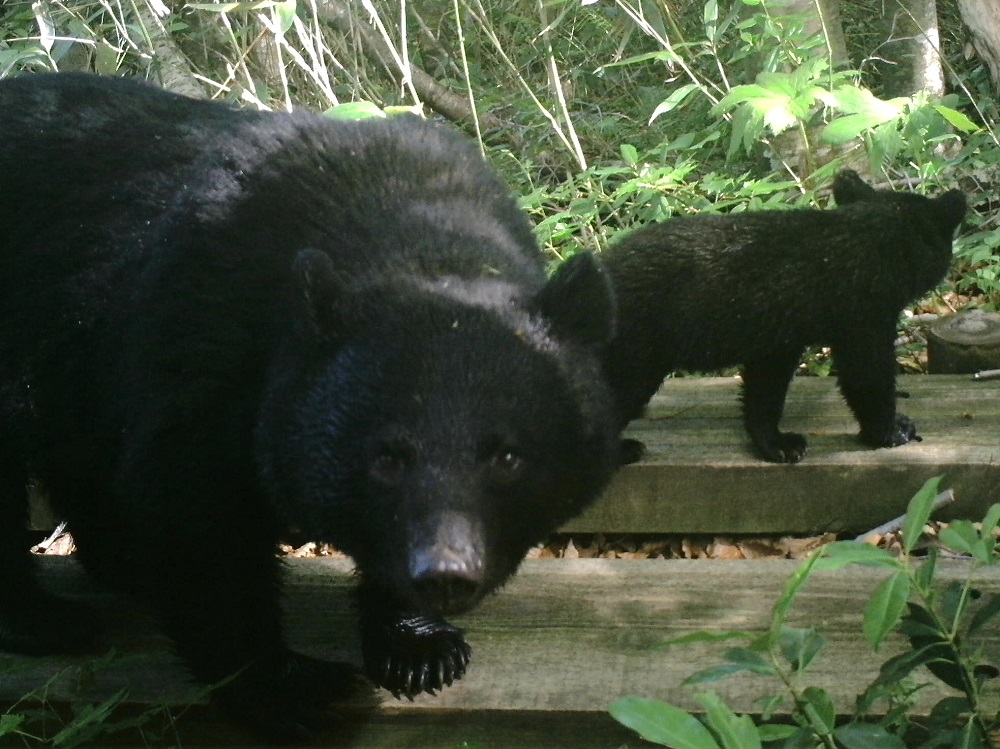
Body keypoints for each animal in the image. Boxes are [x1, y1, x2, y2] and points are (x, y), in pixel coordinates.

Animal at [0, 73, 616, 732]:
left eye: (507, 456)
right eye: (386, 457)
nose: (445, 576)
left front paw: (419, 648)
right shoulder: (204, 345)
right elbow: (201, 516)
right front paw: (290, 684)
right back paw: (47, 617)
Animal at [596, 171, 964, 462]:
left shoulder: (777, 341)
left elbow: (764, 394)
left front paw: (775, 443)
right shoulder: (862, 321)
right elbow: (867, 379)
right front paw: (891, 430)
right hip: (636, 353)